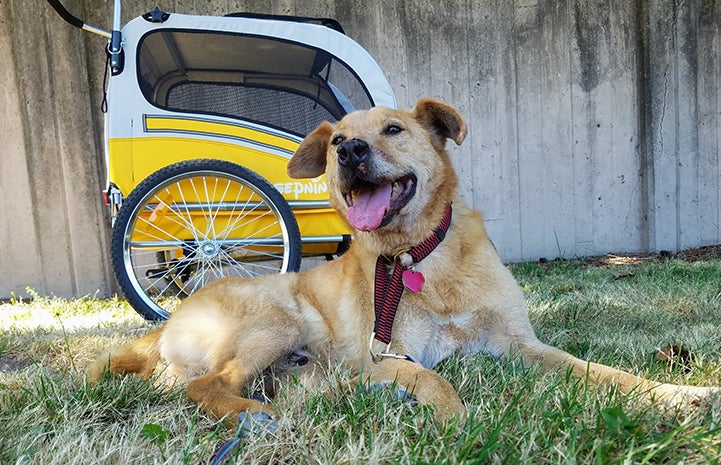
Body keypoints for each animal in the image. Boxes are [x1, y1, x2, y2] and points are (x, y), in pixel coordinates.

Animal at [90, 99, 720, 426]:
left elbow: (601, 373)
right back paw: (255, 413)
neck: (418, 255)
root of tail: (171, 321)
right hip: (277, 318)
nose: (348, 150)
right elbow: (433, 376)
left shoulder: (522, 345)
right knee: (210, 386)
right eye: (337, 139)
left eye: (393, 129)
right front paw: (456, 421)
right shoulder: (390, 354)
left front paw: (675, 393)